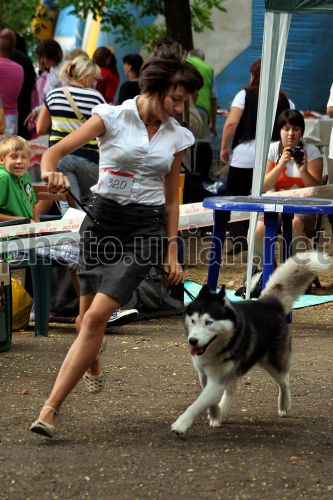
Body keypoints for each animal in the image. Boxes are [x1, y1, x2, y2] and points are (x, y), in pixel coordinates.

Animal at [171, 252, 330, 436]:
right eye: (193, 321)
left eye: (209, 322)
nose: (192, 341)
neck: (216, 347)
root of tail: (268, 302)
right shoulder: (204, 376)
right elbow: (210, 401)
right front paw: (216, 414)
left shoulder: (217, 380)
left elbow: (198, 403)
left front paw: (181, 424)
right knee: (232, 389)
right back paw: (224, 409)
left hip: (272, 363)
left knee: (284, 381)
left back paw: (284, 404)